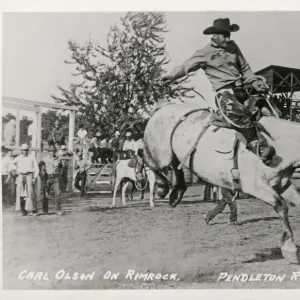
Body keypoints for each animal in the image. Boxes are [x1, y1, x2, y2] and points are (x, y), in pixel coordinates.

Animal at [143, 102, 300, 262]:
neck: (278, 144)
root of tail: (162, 108)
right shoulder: (256, 186)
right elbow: (281, 206)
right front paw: (289, 249)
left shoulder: (282, 184)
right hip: (160, 155)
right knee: (149, 162)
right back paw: (162, 188)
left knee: (175, 165)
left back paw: (177, 193)